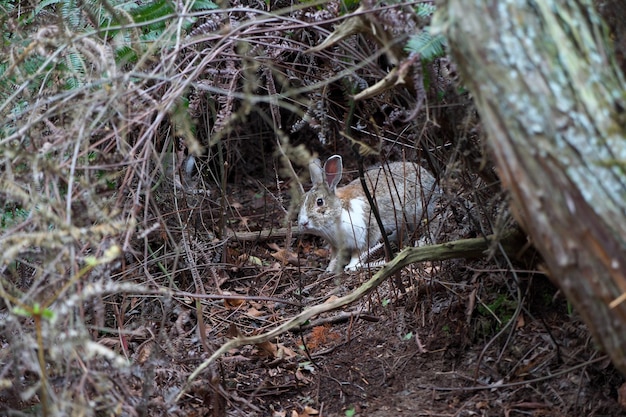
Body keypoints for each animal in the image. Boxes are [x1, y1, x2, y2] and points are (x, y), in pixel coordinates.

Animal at [298, 154, 438, 272]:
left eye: (319, 202)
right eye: (302, 200)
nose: (303, 223)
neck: (338, 212)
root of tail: (429, 176)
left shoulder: (365, 234)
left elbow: (359, 253)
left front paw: (351, 266)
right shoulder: (336, 246)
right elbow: (335, 257)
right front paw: (329, 269)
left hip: (418, 211)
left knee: (431, 222)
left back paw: (423, 241)